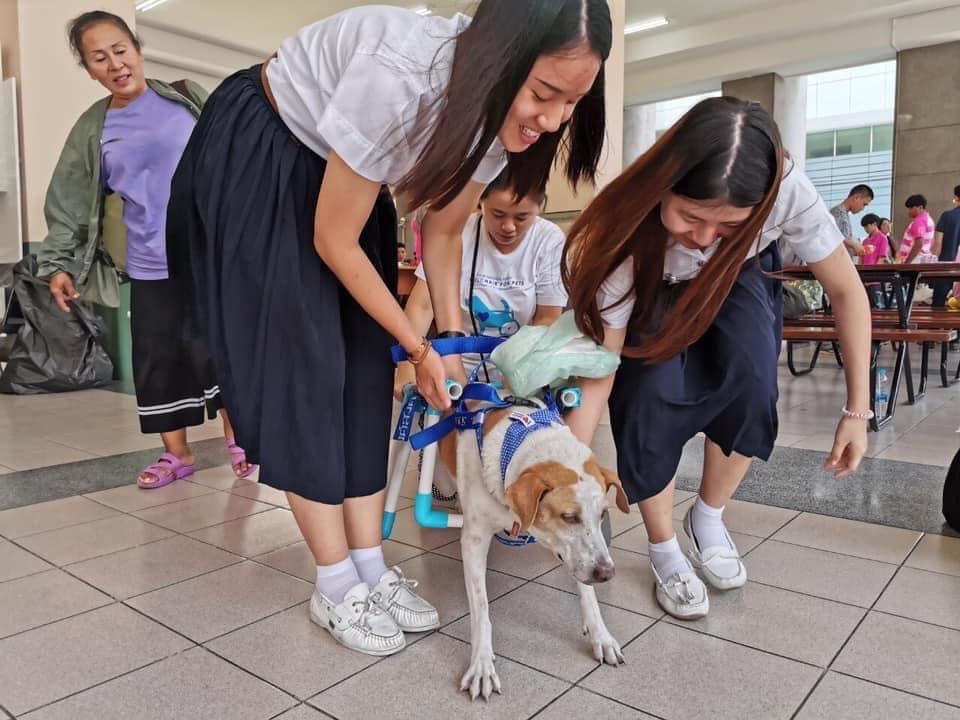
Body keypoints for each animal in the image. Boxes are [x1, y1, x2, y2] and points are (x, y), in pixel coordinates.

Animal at [440, 396, 632, 700]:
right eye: (569, 517)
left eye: (602, 514)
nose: (607, 574)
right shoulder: (474, 541)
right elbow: (481, 610)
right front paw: (482, 664)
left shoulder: (580, 558)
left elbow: (588, 594)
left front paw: (601, 635)